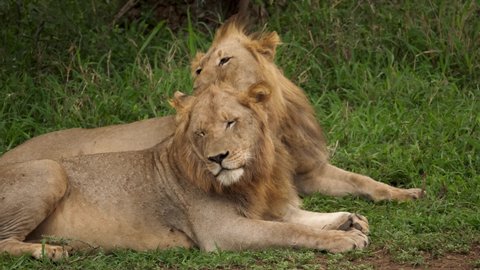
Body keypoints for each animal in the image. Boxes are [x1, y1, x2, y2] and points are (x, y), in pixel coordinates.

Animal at [0, 82, 372, 260]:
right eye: (201, 133)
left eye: (230, 122)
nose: (218, 158)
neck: (250, 177)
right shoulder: (221, 232)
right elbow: (289, 231)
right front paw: (343, 238)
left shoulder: (264, 208)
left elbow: (300, 218)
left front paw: (350, 219)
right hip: (50, 169)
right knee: (4, 242)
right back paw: (49, 251)